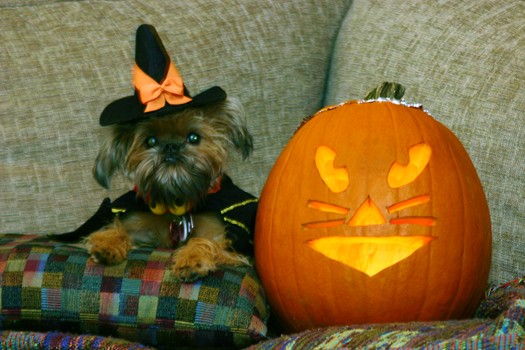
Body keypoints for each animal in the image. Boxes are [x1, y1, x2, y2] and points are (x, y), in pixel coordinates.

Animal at [52, 24, 256, 282]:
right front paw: (108, 244)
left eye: (194, 138)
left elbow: (206, 242)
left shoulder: (220, 236)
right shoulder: (137, 225)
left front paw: (192, 259)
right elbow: (117, 227)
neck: (174, 207)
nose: (170, 146)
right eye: (150, 141)